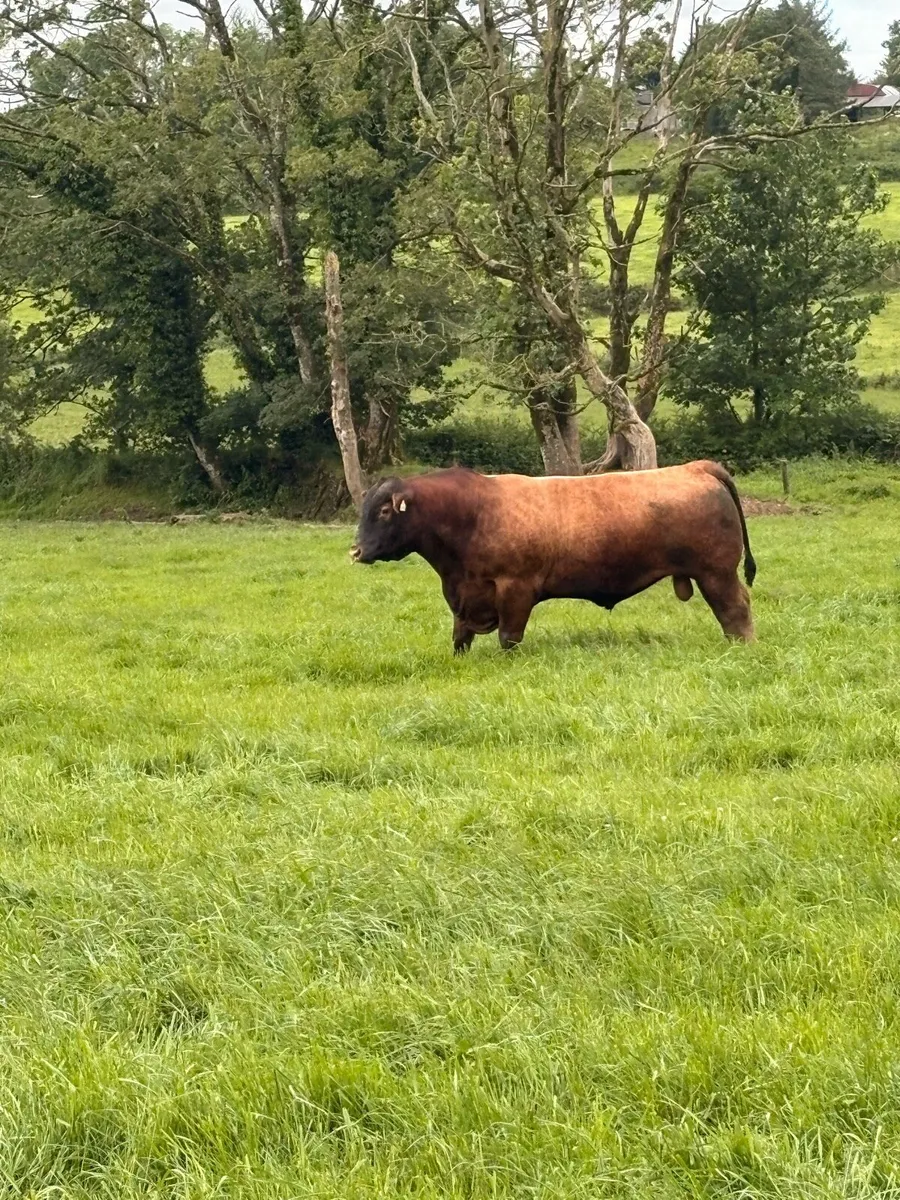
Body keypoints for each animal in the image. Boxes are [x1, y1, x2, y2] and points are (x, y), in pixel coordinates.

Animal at [350, 461, 757, 654]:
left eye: (383, 512)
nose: (356, 550)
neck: (474, 515)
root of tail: (695, 467)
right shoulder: (464, 596)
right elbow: (459, 638)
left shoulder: (514, 590)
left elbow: (509, 637)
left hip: (717, 574)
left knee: (735, 611)